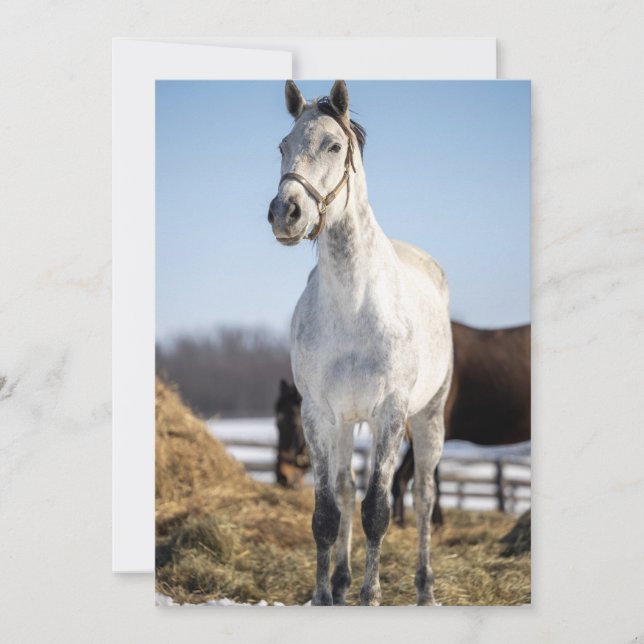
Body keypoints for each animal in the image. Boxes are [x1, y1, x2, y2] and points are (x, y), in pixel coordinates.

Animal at [267, 80, 452, 606]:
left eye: (334, 146)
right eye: (283, 146)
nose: (285, 213)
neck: (353, 302)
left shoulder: (390, 411)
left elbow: (377, 510)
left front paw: (371, 596)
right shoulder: (319, 414)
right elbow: (327, 512)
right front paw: (324, 595)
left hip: (427, 417)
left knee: (422, 495)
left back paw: (424, 589)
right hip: (349, 423)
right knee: (348, 490)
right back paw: (342, 580)